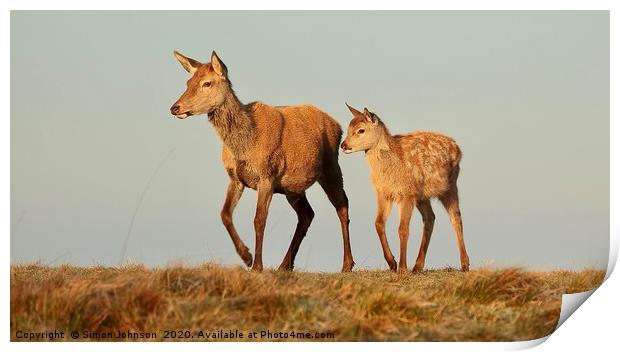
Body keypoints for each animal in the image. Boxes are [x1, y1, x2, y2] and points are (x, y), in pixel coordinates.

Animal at [170, 51, 354, 272]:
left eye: (207, 83)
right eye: (188, 82)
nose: (175, 107)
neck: (244, 145)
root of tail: (338, 125)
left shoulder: (266, 176)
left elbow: (259, 219)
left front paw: (256, 264)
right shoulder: (235, 178)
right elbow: (224, 214)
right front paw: (246, 256)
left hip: (331, 166)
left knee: (342, 205)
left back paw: (347, 264)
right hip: (292, 187)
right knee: (307, 214)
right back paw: (285, 264)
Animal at [342, 104, 468, 272]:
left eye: (361, 130)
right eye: (348, 128)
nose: (343, 145)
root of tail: (457, 146)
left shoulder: (407, 193)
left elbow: (403, 229)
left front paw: (402, 268)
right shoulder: (384, 192)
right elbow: (378, 223)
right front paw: (392, 263)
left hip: (450, 185)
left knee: (455, 217)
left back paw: (465, 264)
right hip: (422, 195)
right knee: (430, 217)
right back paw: (417, 266)